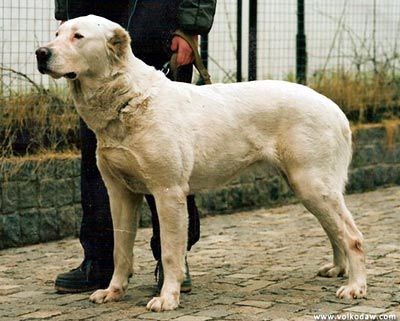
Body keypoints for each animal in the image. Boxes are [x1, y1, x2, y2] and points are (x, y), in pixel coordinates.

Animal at [36, 16, 368, 312]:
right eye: (57, 33)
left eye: (78, 36)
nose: (41, 53)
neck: (128, 100)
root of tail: (334, 108)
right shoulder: (120, 194)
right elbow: (121, 249)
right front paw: (113, 291)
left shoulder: (168, 192)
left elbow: (170, 252)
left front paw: (168, 298)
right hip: (308, 187)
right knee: (334, 230)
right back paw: (339, 269)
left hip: (312, 184)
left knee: (352, 236)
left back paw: (355, 286)